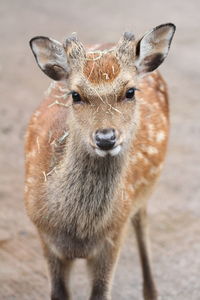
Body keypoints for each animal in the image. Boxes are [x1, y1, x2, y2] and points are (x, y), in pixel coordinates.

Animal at [24, 22, 175, 298]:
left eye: (130, 91)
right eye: (75, 95)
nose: (106, 138)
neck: (79, 232)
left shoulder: (113, 238)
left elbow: (101, 293)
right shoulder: (44, 237)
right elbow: (58, 293)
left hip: (143, 195)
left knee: (142, 224)